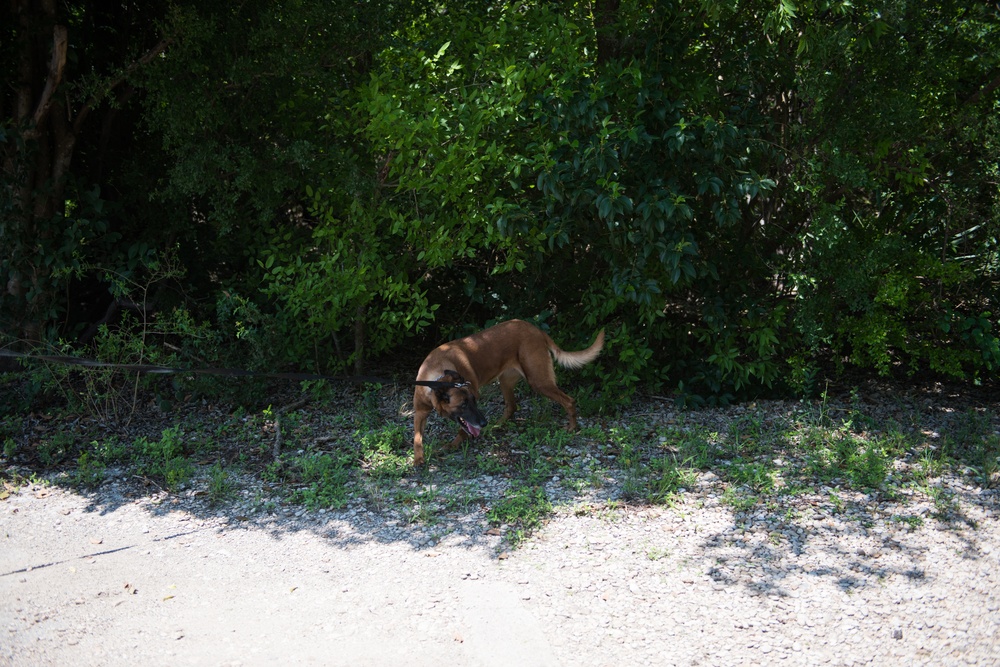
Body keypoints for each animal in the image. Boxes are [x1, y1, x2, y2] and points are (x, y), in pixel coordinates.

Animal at [410, 320, 604, 468]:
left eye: (475, 400)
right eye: (463, 404)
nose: (484, 423)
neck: (437, 376)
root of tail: (536, 329)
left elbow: (462, 429)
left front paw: (454, 444)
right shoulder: (420, 413)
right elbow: (417, 438)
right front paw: (418, 460)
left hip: (538, 381)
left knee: (569, 400)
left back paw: (572, 427)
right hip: (506, 381)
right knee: (512, 406)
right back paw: (497, 425)